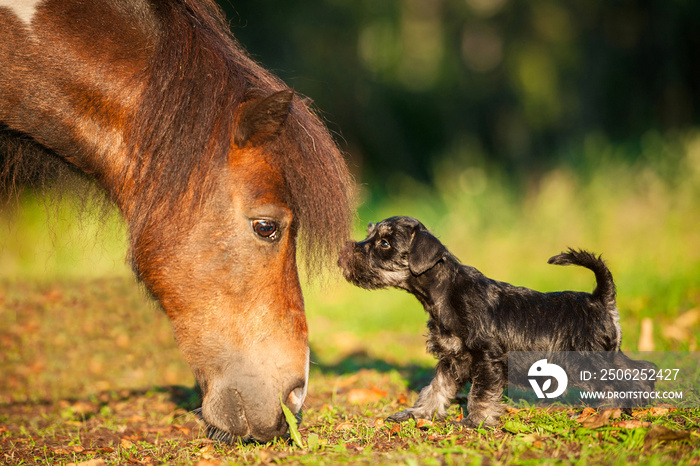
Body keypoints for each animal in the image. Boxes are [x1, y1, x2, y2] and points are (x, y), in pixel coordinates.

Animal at [336, 217, 648, 428]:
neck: (444, 292)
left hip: (586, 361)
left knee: (616, 383)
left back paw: (607, 411)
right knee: (639, 371)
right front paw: (418, 414)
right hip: (609, 355)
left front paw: (475, 421)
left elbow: (480, 393)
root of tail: (600, 299)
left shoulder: (486, 357)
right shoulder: (452, 358)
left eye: (384, 243)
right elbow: (435, 388)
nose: (342, 255)